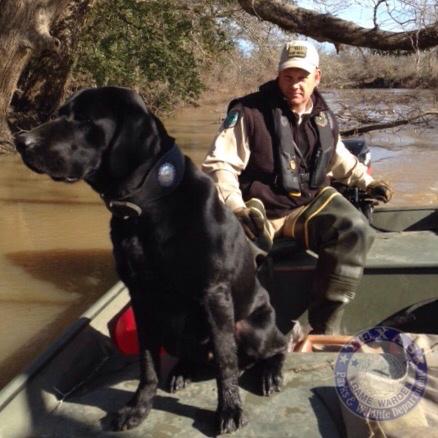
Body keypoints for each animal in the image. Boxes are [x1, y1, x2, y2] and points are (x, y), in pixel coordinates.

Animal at [14, 86, 288, 434]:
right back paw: (182, 371)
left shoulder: (214, 294)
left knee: (278, 345)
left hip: (253, 328)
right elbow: (147, 364)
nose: (22, 141)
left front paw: (229, 409)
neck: (146, 206)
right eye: (61, 114)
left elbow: (227, 361)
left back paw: (270, 373)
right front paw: (138, 408)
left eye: (84, 120)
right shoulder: (141, 298)